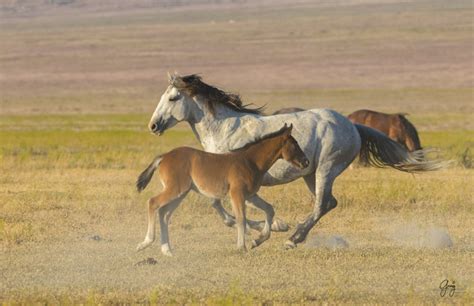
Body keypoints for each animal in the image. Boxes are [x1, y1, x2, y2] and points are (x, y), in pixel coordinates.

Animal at [135, 124, 310, 256]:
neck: (250, 161)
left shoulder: (250, 195)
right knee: (153, 203)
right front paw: (242, 247)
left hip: (180, 193)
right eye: (294, 144)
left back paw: (167, 250)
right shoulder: (237, 194)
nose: (306, 162)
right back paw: (145, 243)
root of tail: (164, 156)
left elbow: (269, 209)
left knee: (164, 213)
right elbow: (241, 218)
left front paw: (257, 241)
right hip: (176, 189)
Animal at [146, 74, 442, 249]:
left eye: (173, 97)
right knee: (328, 203)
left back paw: (292, 239)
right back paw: (297, 235)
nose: (153, 125)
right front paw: (266, 230)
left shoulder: (240, 183)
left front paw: (275, 228)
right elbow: (223, 209)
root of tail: (352, 125)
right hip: (311, 174)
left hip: (326, 169)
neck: (225, 129)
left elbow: (236, 209)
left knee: (322, 203)